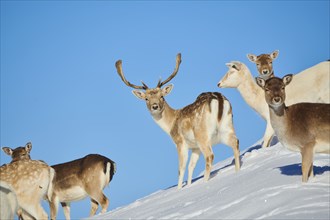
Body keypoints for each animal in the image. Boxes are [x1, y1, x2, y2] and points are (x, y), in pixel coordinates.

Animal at [115, 53, 240, 189]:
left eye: (162, 96)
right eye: (146, 98)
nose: (155, 106)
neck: (171, 124)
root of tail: (219, 100)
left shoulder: (180, 142)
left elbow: (181, 169)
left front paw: (179, 189)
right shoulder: (194, 147)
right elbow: (191, 167)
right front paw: (189, 186)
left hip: (202, 134)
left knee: (209, 156)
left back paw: (205, 182)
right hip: (227, 126)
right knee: (236, 142)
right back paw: (237, 171)